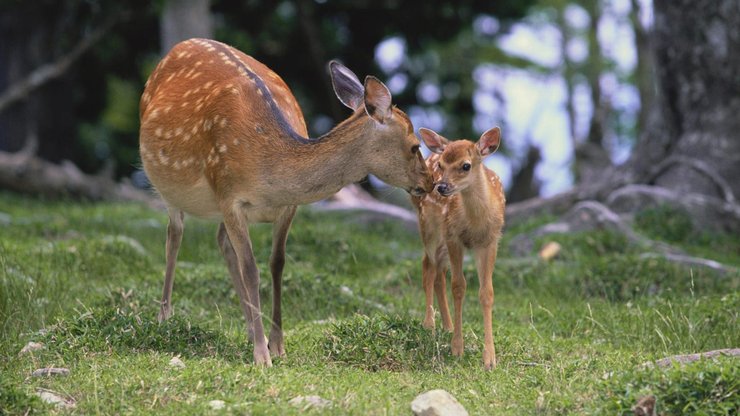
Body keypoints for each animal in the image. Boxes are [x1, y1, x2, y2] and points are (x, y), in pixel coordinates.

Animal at [137, 37, 434, 366]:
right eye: (414, 146)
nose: (430, 183)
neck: (270, 172)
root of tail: (179, 46)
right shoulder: (229, 195)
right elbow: (251, 269)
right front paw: (261, 356)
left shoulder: (287, 207)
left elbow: (277, 264)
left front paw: (277, 345)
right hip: (170, 187)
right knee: (174, 236)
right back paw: (165, 317)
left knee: (221, 241)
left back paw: (250, 329)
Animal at [414, 127, 506, 370]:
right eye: (441, 165)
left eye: (466, 165)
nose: (441, 186)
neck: (475, 222)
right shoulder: (454, 236)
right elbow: (459, 287)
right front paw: (457, 348)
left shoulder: (490, 241)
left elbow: (487, 292)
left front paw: (490, 359)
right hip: (429, 226)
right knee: (428, 267)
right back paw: (430, 324)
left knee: (439, 273)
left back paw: (446, 325)